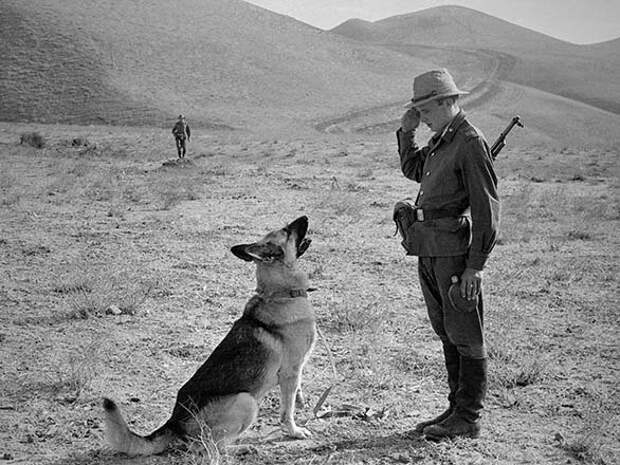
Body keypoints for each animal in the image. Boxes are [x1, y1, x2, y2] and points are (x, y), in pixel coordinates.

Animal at [103, 216, 314, 454]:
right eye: (287, 231)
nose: (305, 217)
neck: (280, 294)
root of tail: (173, 423)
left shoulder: (295, 373)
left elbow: (296, 395)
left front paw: (301, 402)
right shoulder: (290, 372)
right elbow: (287, 412)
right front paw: (295, 431)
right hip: (247, 401)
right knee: (211, 447)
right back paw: (241, 448)